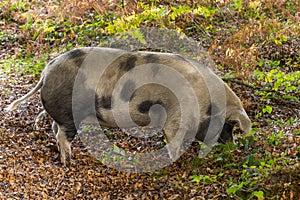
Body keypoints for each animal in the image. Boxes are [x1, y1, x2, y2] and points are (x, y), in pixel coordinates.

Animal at [5, 47, 252, 166]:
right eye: (230, 124)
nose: (232, 146)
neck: (205, 102)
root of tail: (47, 71)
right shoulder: (176, 118)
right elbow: (173, 140)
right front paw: (174, 161)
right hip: (69, 113)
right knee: (62, 136)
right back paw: (69, 162)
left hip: (62, 114)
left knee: (55, 130)